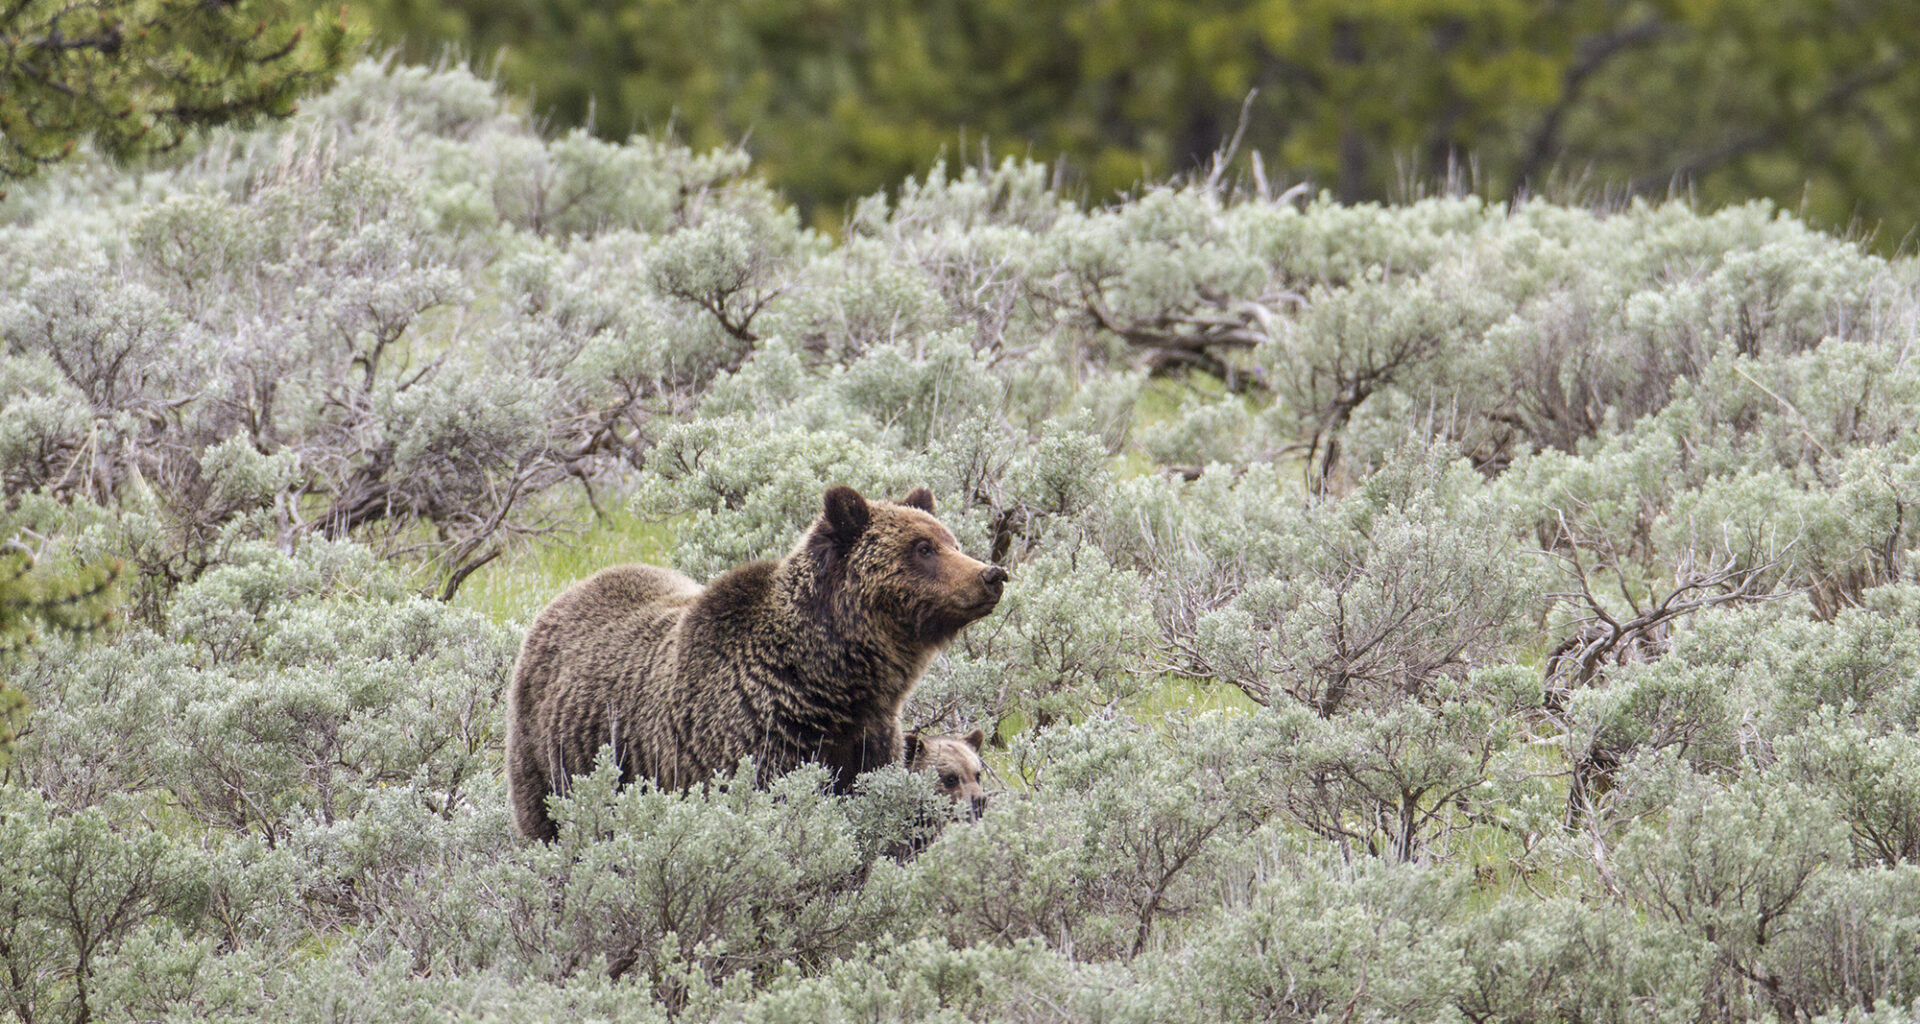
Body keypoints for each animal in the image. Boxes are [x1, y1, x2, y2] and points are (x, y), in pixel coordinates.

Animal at [505, 484, 1008, 841]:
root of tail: (564, 597)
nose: (993, 574)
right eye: (923, 548)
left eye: (950, 540)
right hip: (553, 760)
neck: (828, 686)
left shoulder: (868, 741)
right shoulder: (747, 742)